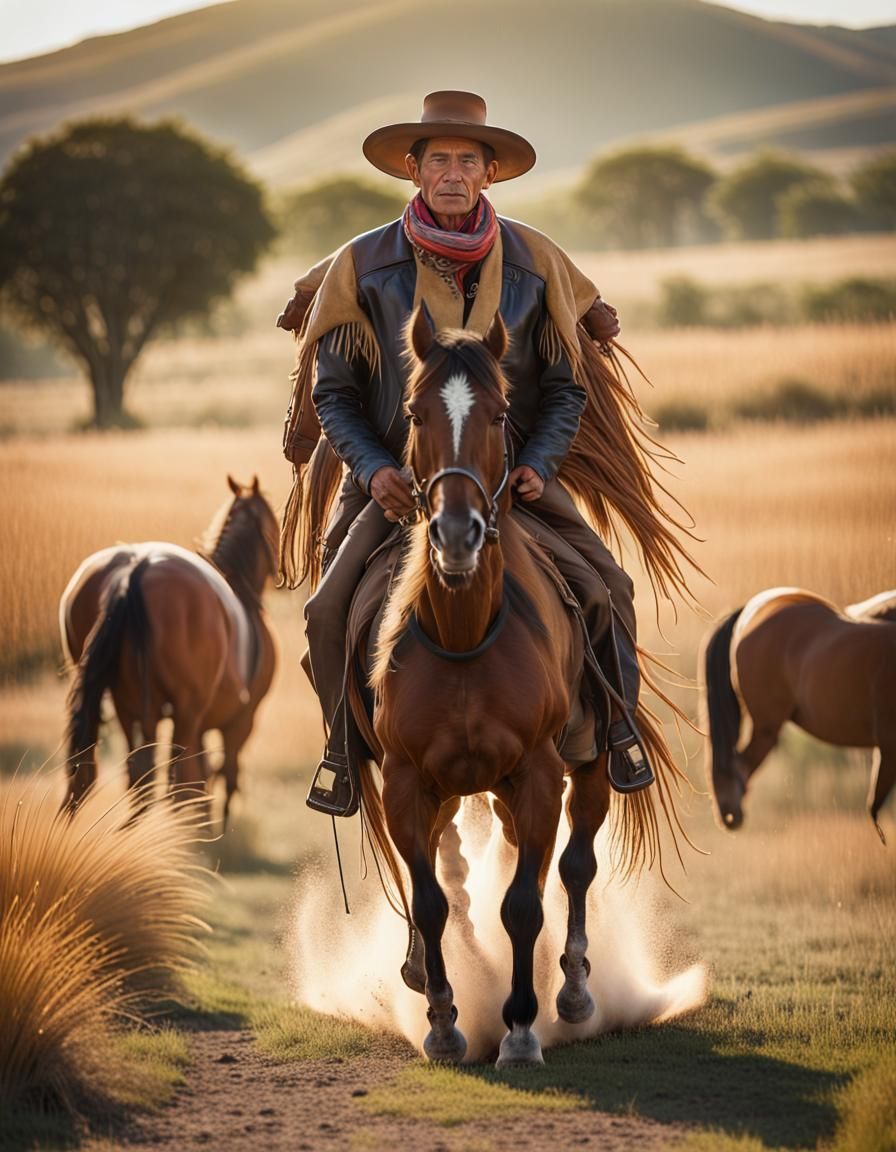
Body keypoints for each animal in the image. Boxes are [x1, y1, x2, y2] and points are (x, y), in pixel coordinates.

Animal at [59, 475, 278, 823]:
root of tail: (135, 569)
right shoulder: (241, 721)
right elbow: (224, 775)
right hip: (184, 710)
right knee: (178, 777)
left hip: (127, 702)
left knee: (133, 773)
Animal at [350, 307, 679, 1068]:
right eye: (414, 412)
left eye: (500, 414)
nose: (457, 533)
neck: (466, 633)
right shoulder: (406, 782)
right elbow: (433, 901)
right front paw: (444, 1025)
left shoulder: (537, 773)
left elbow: (525, 901)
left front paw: (523, 1029)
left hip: (586, 766)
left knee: (577, 866)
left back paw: (575, 991)